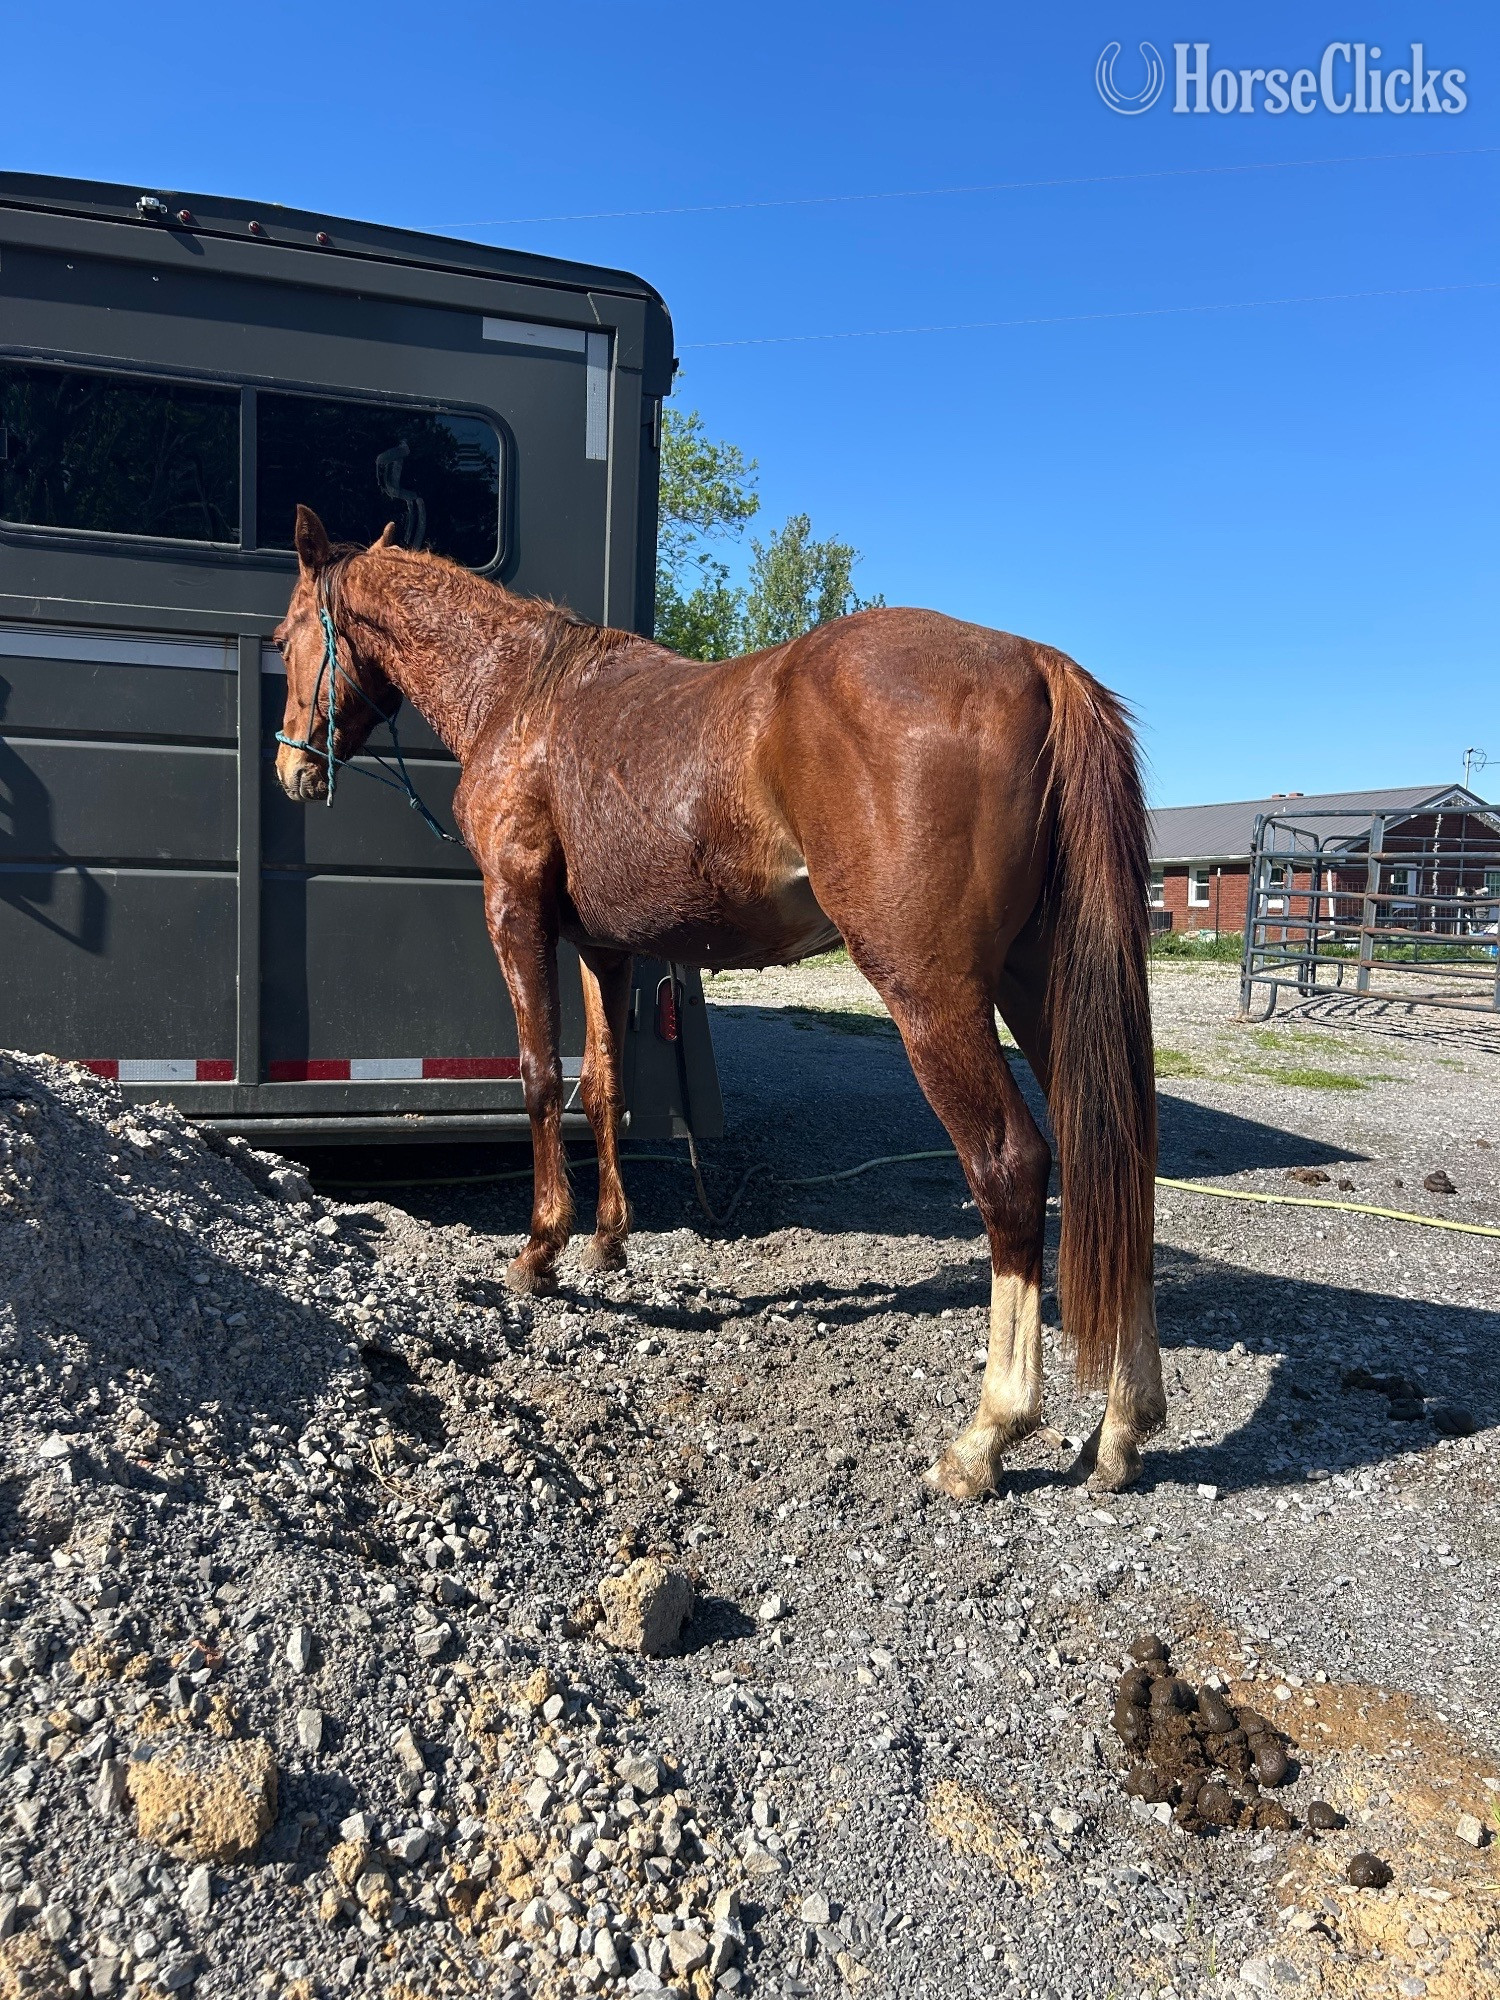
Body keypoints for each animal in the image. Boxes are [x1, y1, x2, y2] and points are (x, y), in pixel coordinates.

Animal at [274, 505, 1163, 1495]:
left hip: (935, 996)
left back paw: (987, 1434)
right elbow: (603, 1089)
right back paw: (1124, 1424)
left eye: (287, 635)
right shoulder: (605, 949)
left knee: (1012, 1167)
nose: (290, 770)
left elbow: (540, 1079)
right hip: (1038, 985)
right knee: (1113, 1151)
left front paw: (540, 1249)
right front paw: (608, 1240)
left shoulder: (515, 915)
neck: (521, 695)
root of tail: (1035, 663)